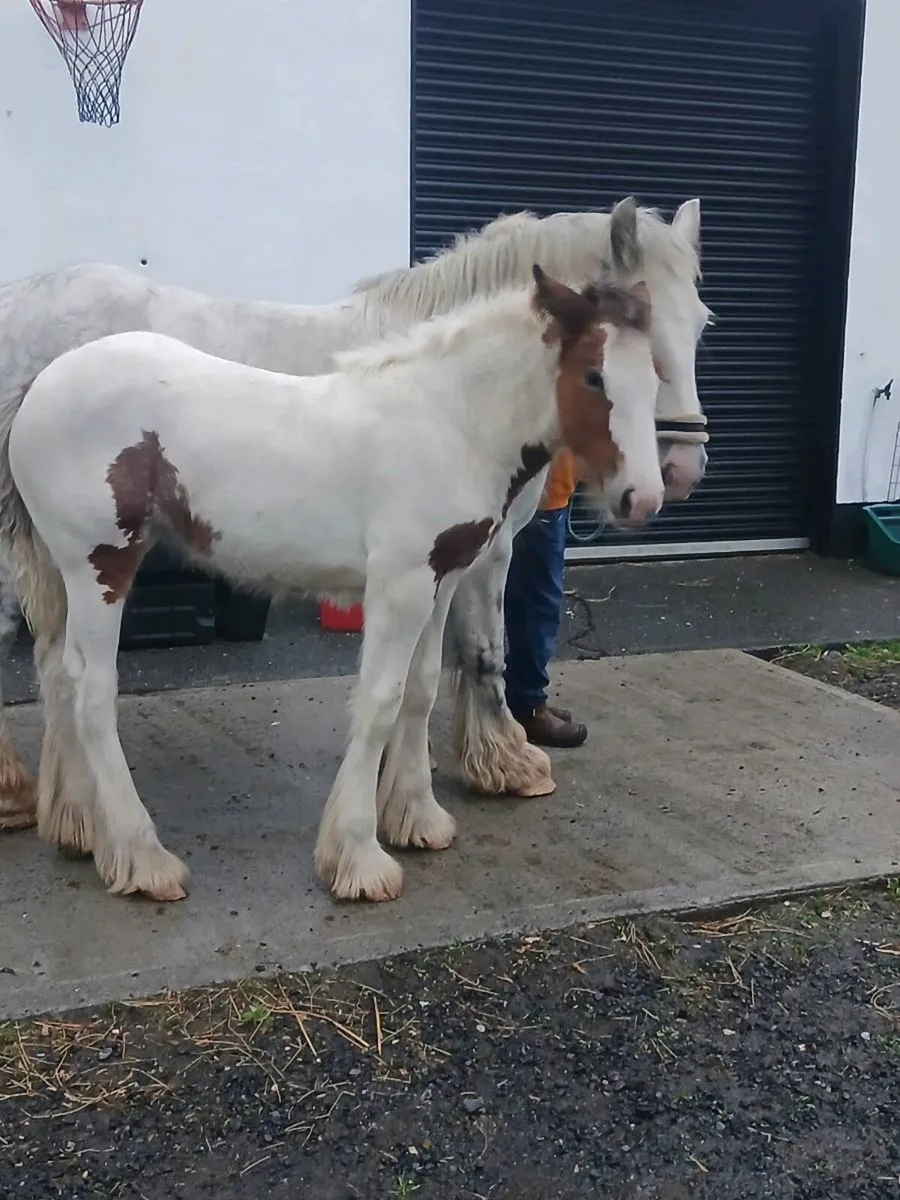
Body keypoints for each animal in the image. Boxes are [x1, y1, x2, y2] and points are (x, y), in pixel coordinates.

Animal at [0, 195, 711, 835]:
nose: (676, 474)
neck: (452, 401)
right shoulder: (485, 551)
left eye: (702, 324)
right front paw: (503, 764)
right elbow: (485, 651)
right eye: (642, 350)